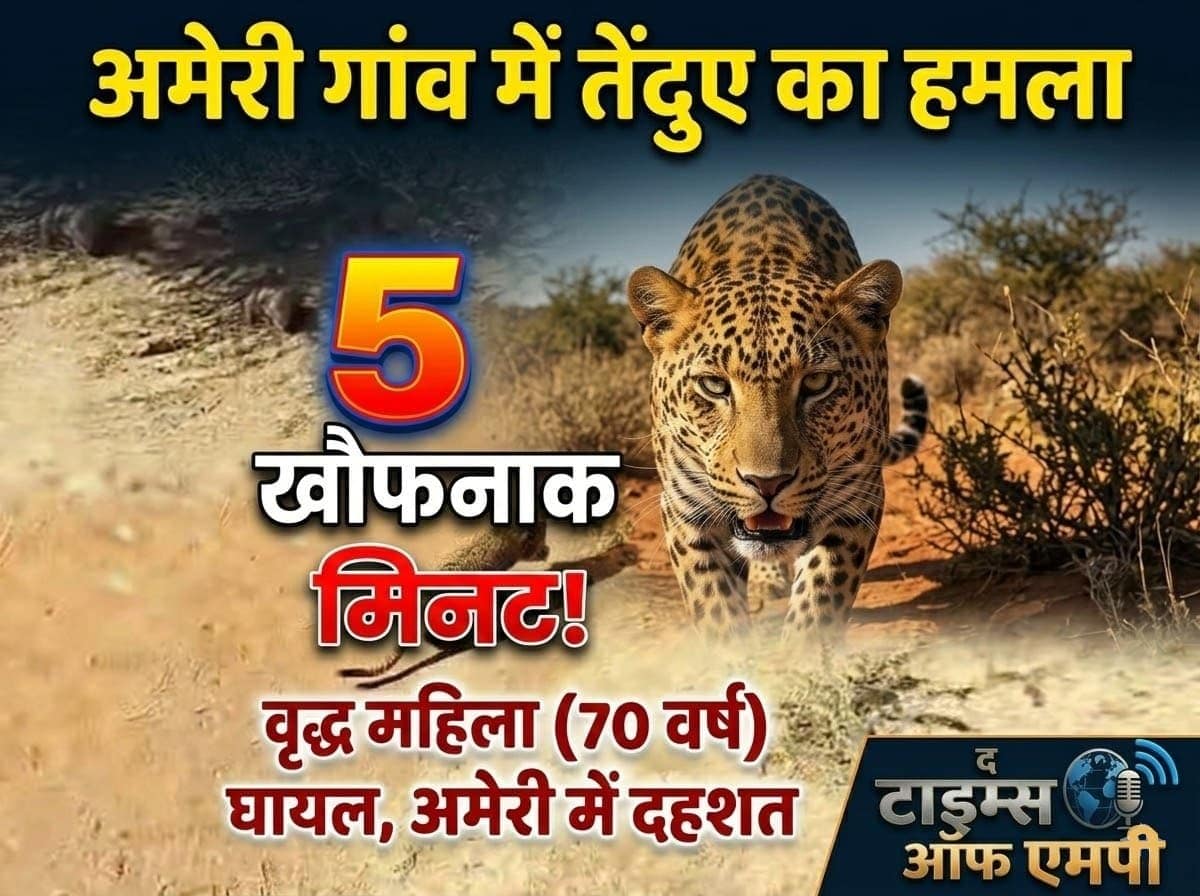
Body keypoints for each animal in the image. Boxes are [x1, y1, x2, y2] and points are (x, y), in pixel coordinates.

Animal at [626, 174, 928, 639]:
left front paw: (800, 653)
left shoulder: (857, 500)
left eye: (817, 383)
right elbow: (715, 607)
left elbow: (820, 601)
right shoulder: (684, 507)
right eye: (714, 385)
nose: (766, 484)